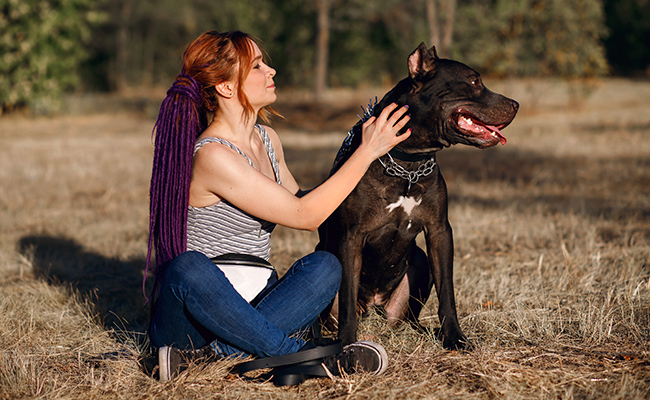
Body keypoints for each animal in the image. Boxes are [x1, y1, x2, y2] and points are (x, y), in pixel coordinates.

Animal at [316, 44, 520, 350]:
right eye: (474, 81)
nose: (516, 104)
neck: (408, 163)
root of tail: (373, 306)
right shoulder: (350, 237)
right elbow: (347, 301)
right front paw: (347, 345)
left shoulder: (439, 232)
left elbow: (447, 292)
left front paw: (455, 338)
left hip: (418, 264)